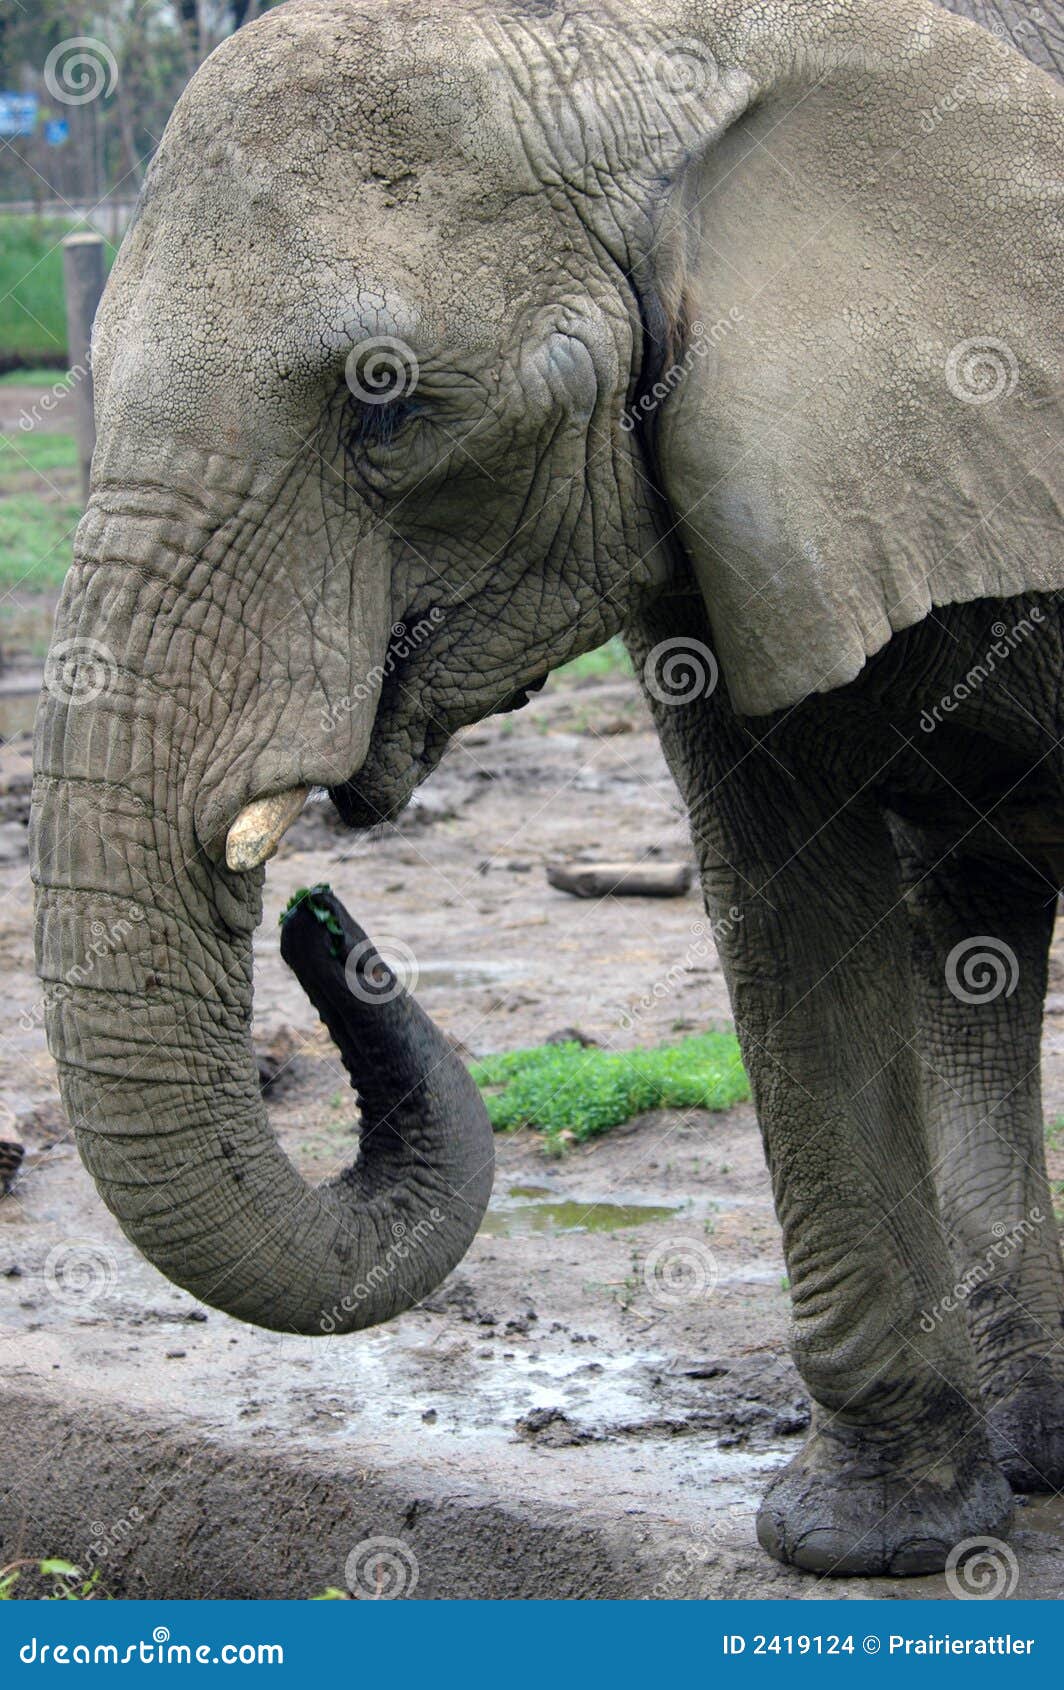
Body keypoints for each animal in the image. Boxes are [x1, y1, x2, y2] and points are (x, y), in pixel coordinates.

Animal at [31, 0, 1063, 1578]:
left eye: (382, 409)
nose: (319, 919)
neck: (659, 46)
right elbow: (786, 909)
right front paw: (872, 1538)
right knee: (975, 924)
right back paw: (1032, 1447)